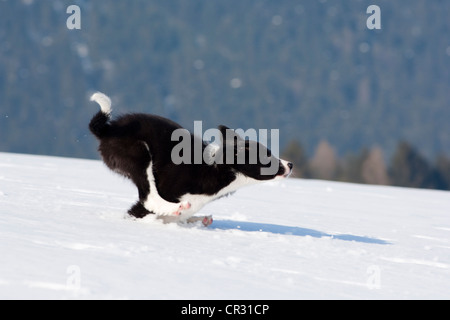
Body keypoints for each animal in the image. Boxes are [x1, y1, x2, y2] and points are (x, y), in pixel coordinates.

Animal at [89, 92, 292, 225]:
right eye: (267, 155)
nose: (290, 164)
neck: (218, 169)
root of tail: (108, 129)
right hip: (139, 153)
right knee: (149, 195)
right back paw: (175, 207)